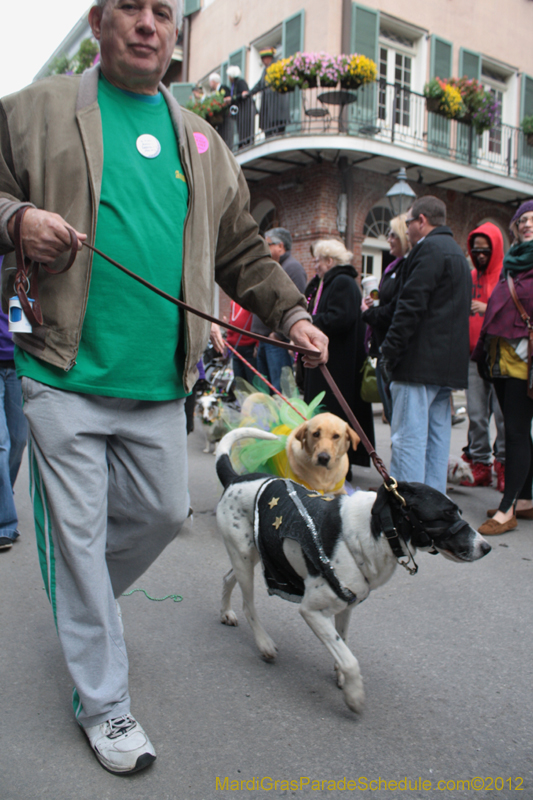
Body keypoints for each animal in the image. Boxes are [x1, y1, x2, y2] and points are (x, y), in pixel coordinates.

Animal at [214, 428, 488, 716]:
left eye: (458, 512)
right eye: (445, 515)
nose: (486, 547)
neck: (376, 529)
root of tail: (236, 479)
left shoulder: (346, 604)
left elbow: (342, 643)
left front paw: (342, 679)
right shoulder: (311, 611)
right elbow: (349, 659)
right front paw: (354, 695)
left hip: (252, 554)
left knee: (227, 578)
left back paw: (226, 612)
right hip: (245, 558)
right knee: (249, 606)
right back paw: (264, 643)